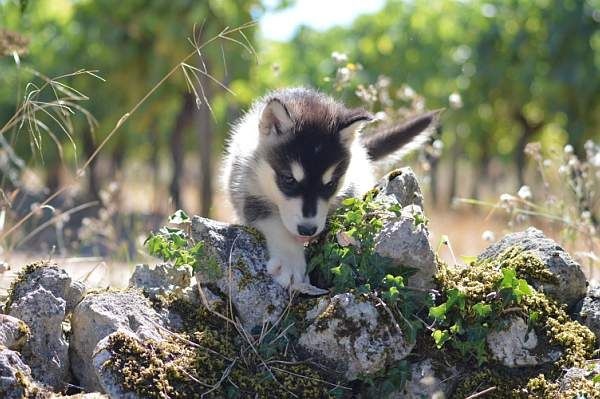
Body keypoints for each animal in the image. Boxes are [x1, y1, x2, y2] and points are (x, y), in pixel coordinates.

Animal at [223, 88, 438, 294]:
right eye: (289, 180)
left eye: (330, 185)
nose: (307, 230)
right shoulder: (247, 190)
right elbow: (275, 224)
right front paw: (289, 262)